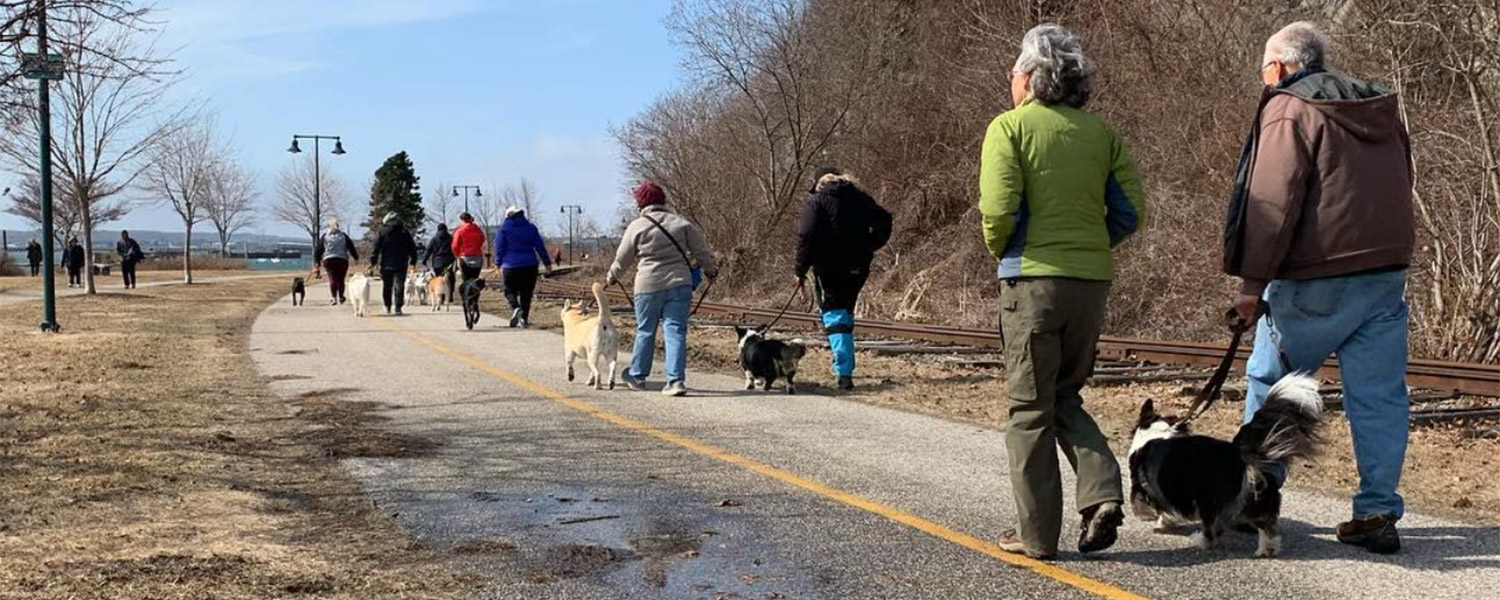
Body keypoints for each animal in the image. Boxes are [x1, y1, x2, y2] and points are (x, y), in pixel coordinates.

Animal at [1128, 375, 1326, 558]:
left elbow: (1150, 505)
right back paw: (1266, 549)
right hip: (1257, 495)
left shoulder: (1150, 487)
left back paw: (1200, 541)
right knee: (1266, 524)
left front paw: (1158, 522)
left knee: (1212, 532)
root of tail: (1237, 452)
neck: (1155, 432)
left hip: (1209, 500)